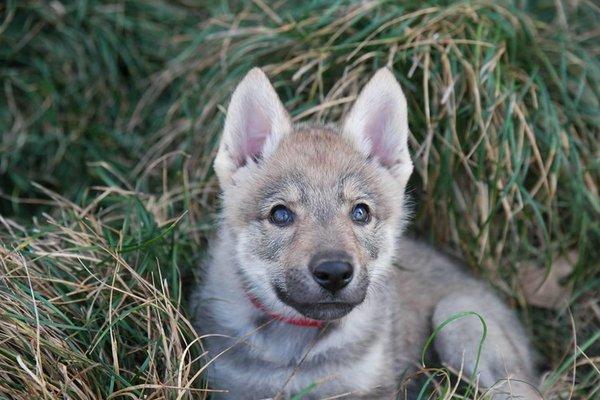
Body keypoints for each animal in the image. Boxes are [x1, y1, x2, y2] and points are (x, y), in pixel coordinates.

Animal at [190, 67, 540, 398]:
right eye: (280, 214)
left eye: (360, 212)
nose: (334, 273)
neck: (299, 350)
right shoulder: (232, 388)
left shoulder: (369, 388)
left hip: (458, 318)